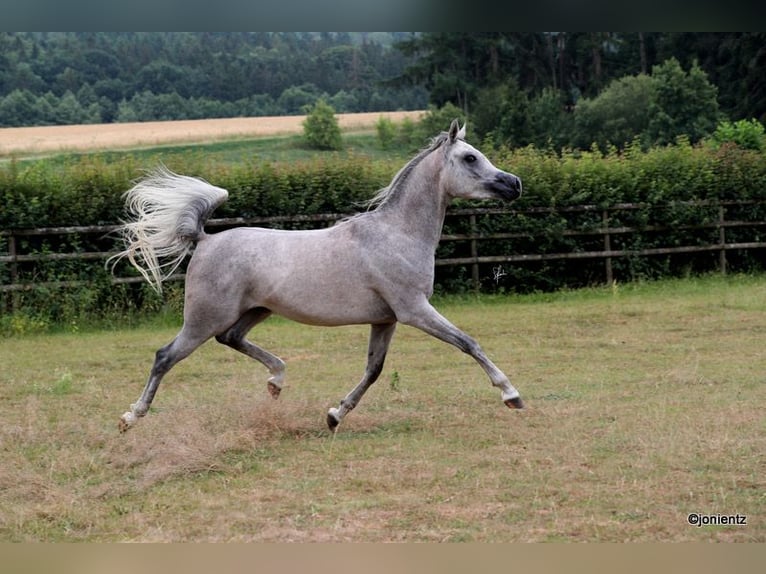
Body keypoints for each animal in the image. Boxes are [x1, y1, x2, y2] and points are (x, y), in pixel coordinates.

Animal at [112, 120, 524, 433]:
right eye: (470, 157)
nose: (514, 184)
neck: (397, 233)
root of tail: (205, 239)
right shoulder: (414, 310)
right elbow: (469, 343)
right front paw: (511, 395)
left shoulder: (386, 319)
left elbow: (373, 370)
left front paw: (334, 415)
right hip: (203, 319)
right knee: (165, 356)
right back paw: (130, 417)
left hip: (254, 311)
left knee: (230, 339)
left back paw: (276, 382)